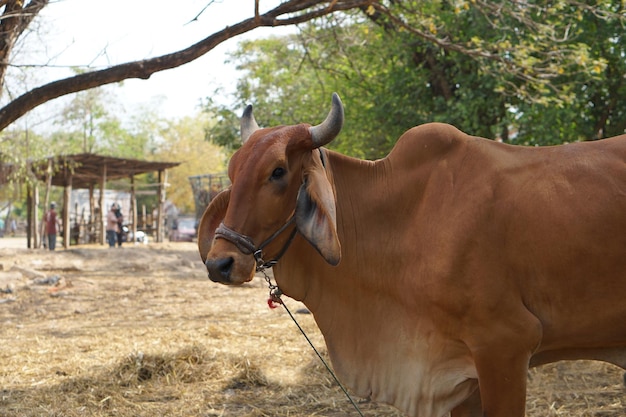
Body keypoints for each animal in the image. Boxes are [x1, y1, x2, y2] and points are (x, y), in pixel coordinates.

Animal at [199, 94, 624, 416]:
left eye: (277, 171)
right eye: (233, 172)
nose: (220, 263)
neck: (404, 218)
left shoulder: (506, 345)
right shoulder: (458, 374)